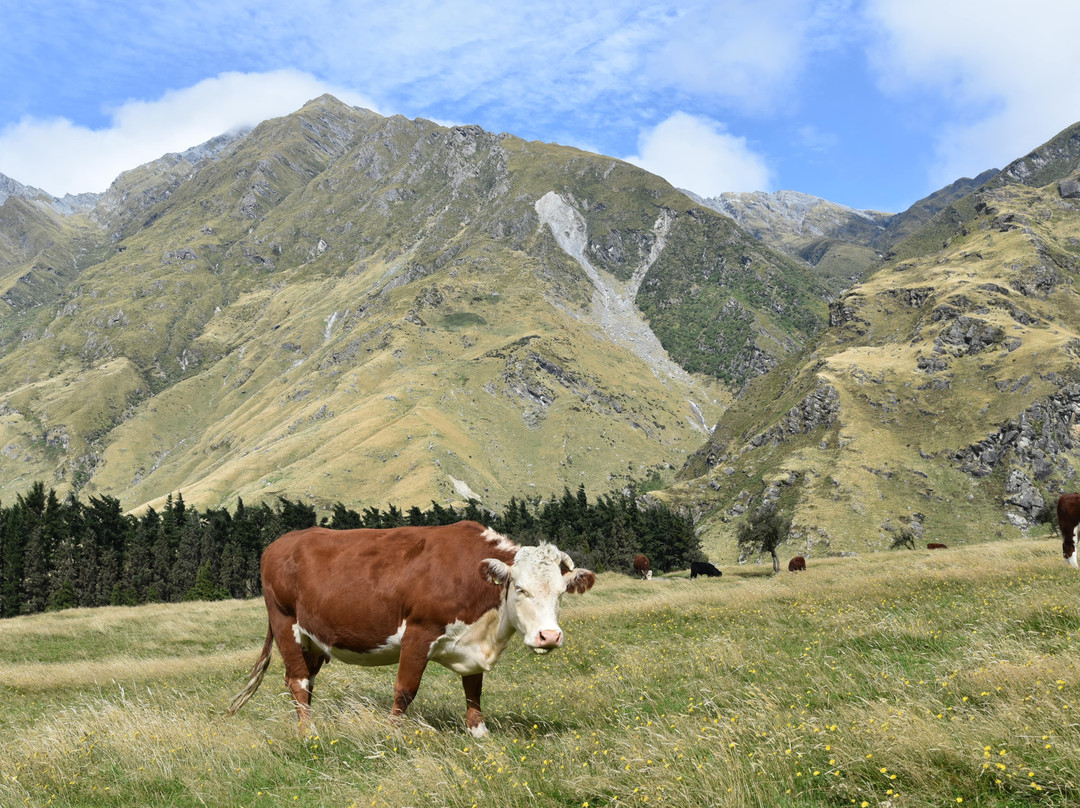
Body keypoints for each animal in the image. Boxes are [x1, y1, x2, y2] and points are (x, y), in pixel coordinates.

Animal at [224, 520, 596, 734]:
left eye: (561, 592)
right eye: (520, 588)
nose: (549, 636)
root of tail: (281, 542)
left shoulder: (472, 644)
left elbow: (473, 691)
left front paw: (480, 735)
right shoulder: (419, 633)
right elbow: (404, 690)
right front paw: (392, 735)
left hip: (313, 638)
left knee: (307, 682)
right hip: (285, 623)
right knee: (298, 682)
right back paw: (308, 734)